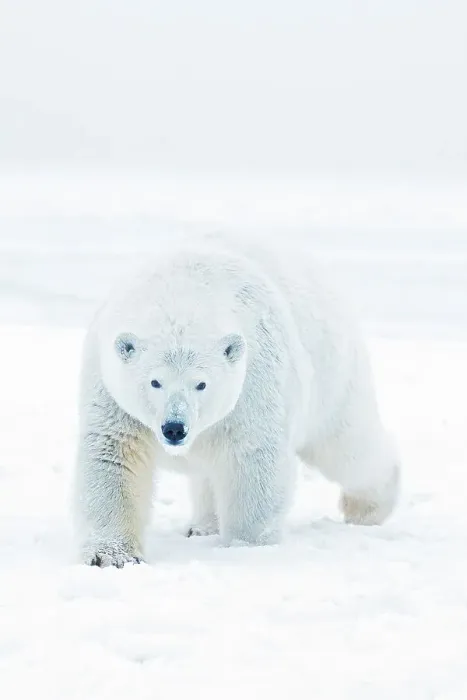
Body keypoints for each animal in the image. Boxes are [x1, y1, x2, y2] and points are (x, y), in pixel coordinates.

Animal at [73, 237, 400, 567]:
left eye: (201, 383)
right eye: (155, 382)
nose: (175, 428)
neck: (184, 290)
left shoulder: (255, 376)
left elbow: (253, 455)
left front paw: (246, 546)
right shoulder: (109, 387)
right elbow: (113, 454)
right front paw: (112, 556)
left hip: (333, 375)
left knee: (347, 448)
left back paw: (368, 507)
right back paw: (203, 525)